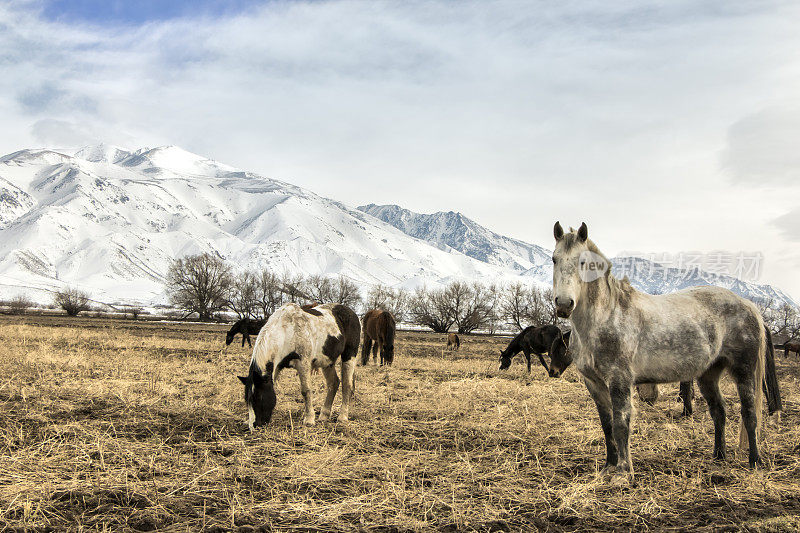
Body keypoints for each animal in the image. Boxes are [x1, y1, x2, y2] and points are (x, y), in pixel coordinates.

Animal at [238, 302, 360, 430]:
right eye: (247, 399)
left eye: (259, 397)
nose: (254, 425)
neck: (286, 331)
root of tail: (352, 313)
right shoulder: (276, 367)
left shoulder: (303, 363)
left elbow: (306, 391)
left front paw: (309, 419)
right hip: (327, 361)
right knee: (333, 383)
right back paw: (324, 415)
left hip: (349, 355)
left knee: (346, 385)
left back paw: (342, 416)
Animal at [552, 220, 780, 482]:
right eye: (554, 259)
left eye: (583, 262)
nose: (564, 304)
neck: (606, 316)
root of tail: (749, 306)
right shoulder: (594, 383)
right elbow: (607, 425)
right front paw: (608, 467)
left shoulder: (619, 380)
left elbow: (621, 423)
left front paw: (623, 473)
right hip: (708, 375)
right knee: (719, 412)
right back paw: (719, 456)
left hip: (744, 371)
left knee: (749, 413)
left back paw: (755, 461)